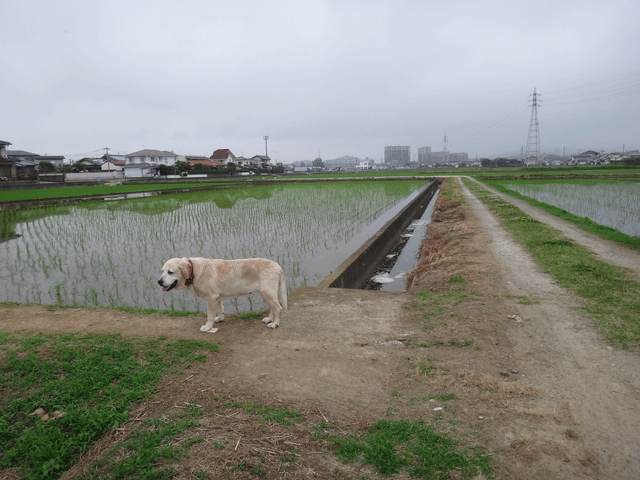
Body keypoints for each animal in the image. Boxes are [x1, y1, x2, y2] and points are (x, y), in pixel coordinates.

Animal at [159, 256, 288, 332]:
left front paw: (208, 327)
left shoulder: (210, 298)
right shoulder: (217, 297)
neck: (193, 272)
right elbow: (220, 309)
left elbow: (210, 315)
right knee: (273, 308)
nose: (159, 282)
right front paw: (220, 318)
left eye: (170, 272)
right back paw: (269, 319)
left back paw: (275, 323)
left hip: (267, 293)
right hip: (267, 293)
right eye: (162, 271)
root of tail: (278, 266)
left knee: (278, 308)